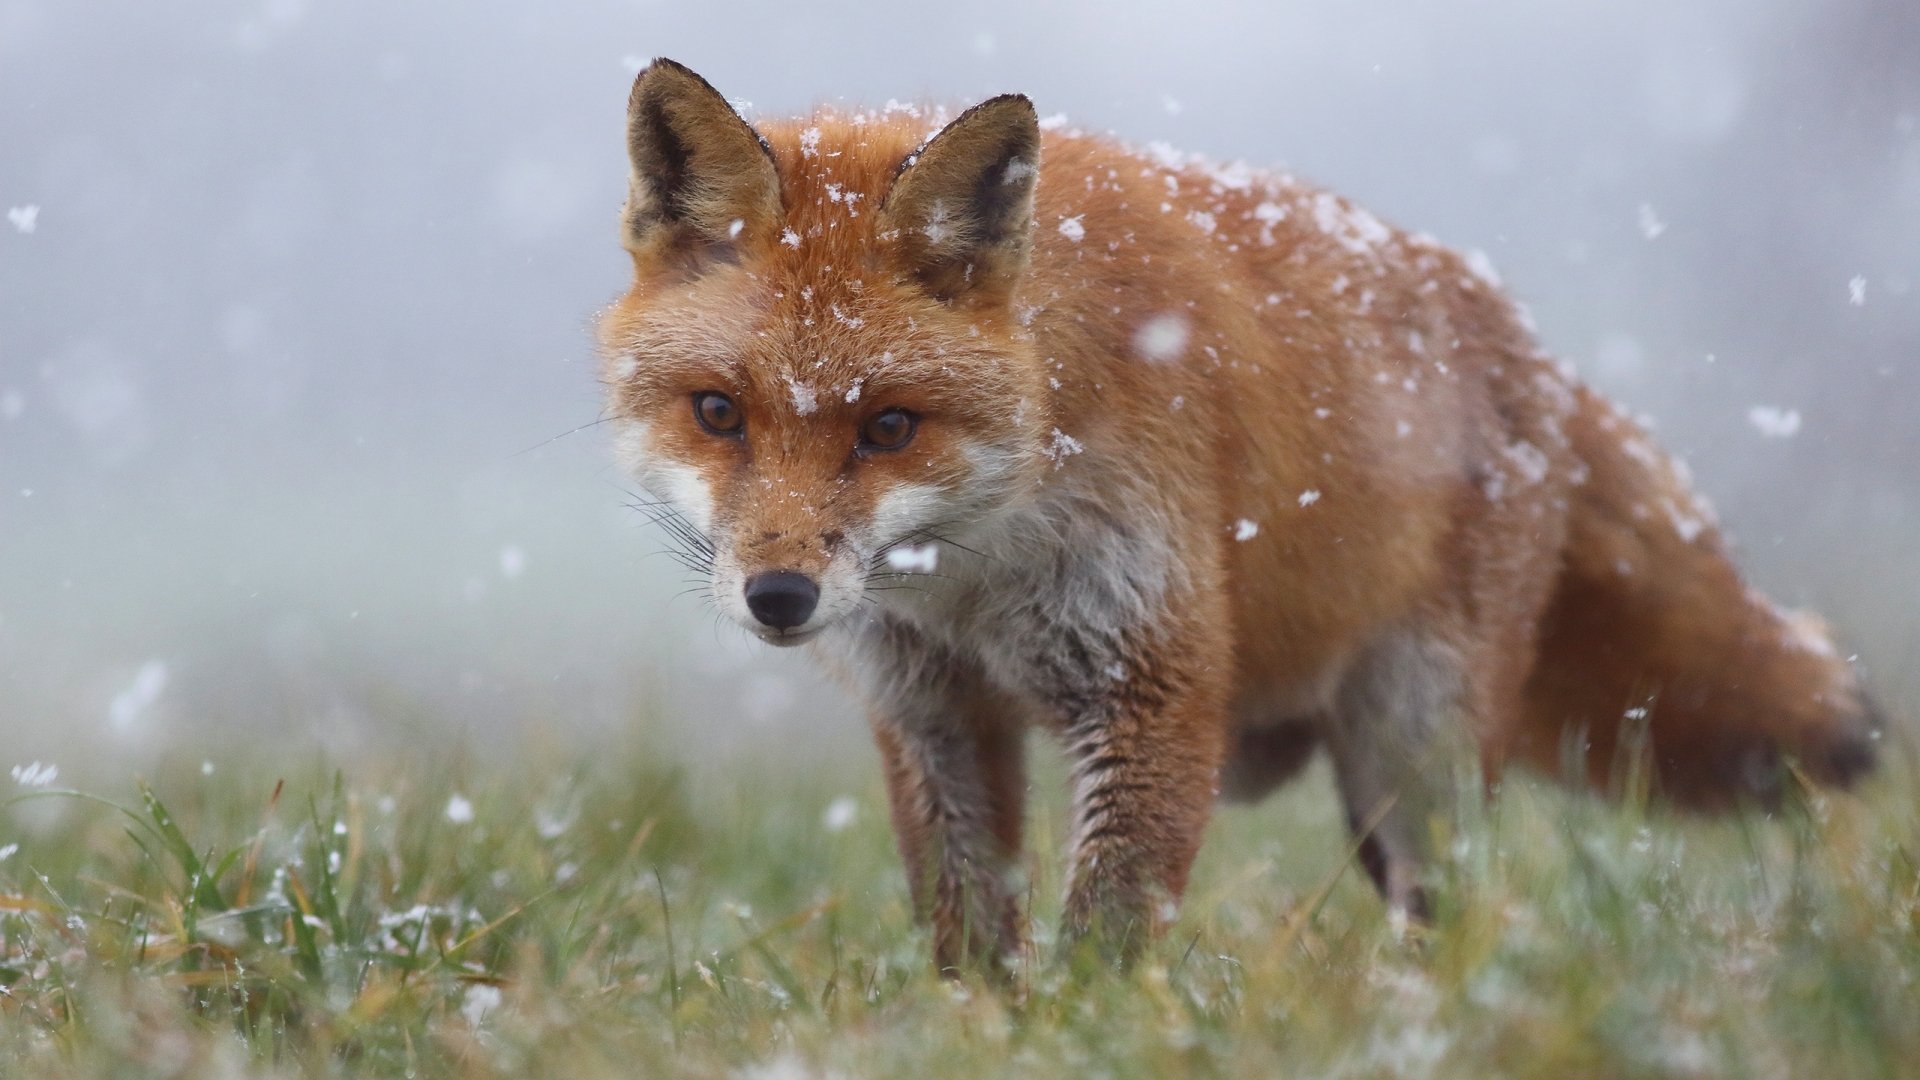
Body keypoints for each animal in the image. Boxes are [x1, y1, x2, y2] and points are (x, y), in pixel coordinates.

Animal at [597, 59, 1881, 971]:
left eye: (888, 428)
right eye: (718, 413)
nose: (779, 597)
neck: (978, 573)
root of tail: (1529, 347)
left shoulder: (1150, 678)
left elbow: (1109, 938)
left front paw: (1084, 1036)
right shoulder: (933, 710)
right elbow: (966, 924)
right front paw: (979, 1030)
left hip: (1413, 753)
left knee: (1463, 915)